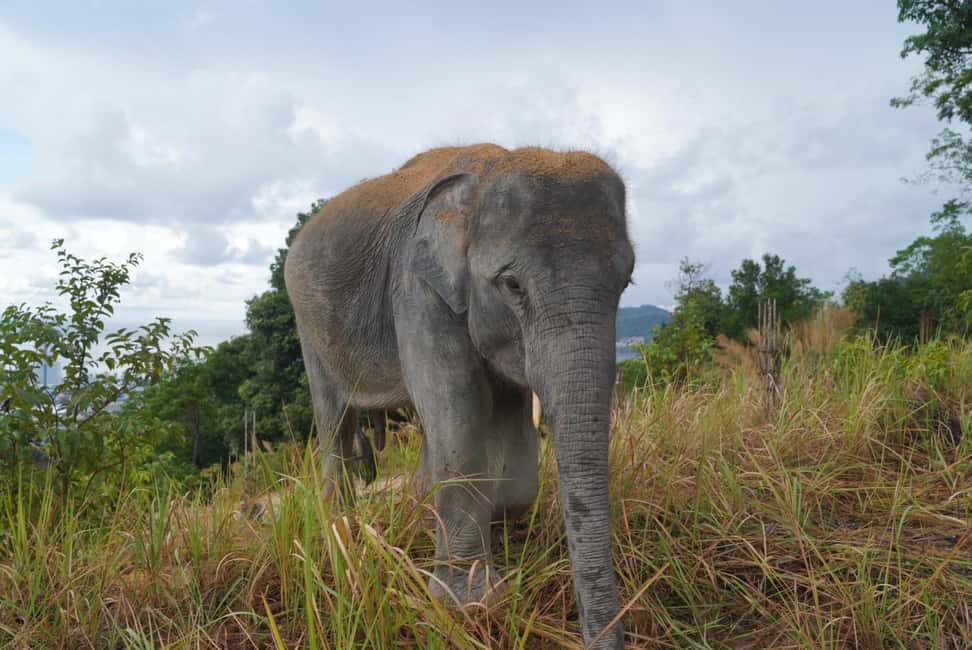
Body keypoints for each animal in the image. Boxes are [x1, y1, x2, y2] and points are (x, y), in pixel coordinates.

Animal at [285, 144, 634, 648]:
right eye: (512, 285)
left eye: (626, 283)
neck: (489, 172)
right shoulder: (416, 288)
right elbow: (460, 412)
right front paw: (468, 602)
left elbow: (513, 462)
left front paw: (495, 542)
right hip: (308, 331)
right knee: (334, 422)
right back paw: (341, 528)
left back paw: (415, 515)